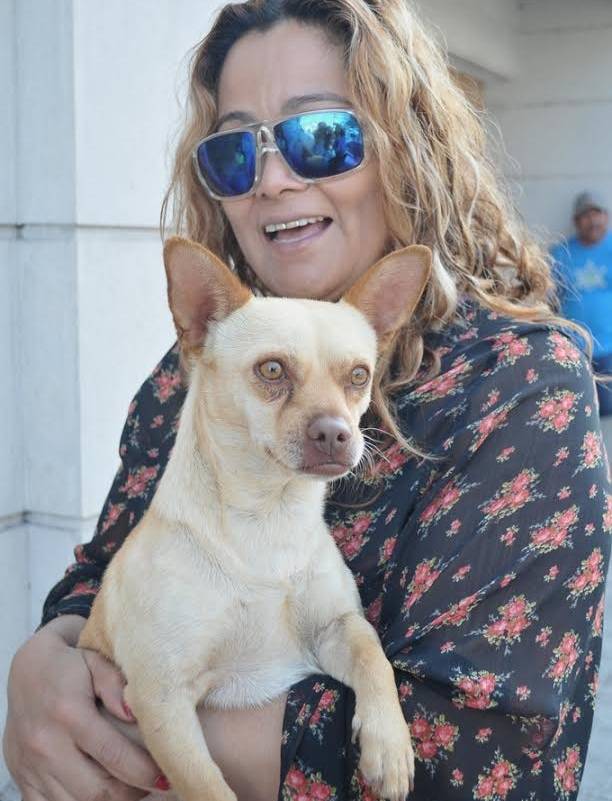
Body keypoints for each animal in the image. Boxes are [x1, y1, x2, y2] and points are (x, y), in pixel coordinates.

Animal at [78, 236, 431, 801]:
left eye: (359, 376)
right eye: (271, 371)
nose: (336, 432)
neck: (269, 519)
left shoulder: (332, 632)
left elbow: (371, 650)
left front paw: (390, 744)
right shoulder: (162, 698)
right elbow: (205, 786)